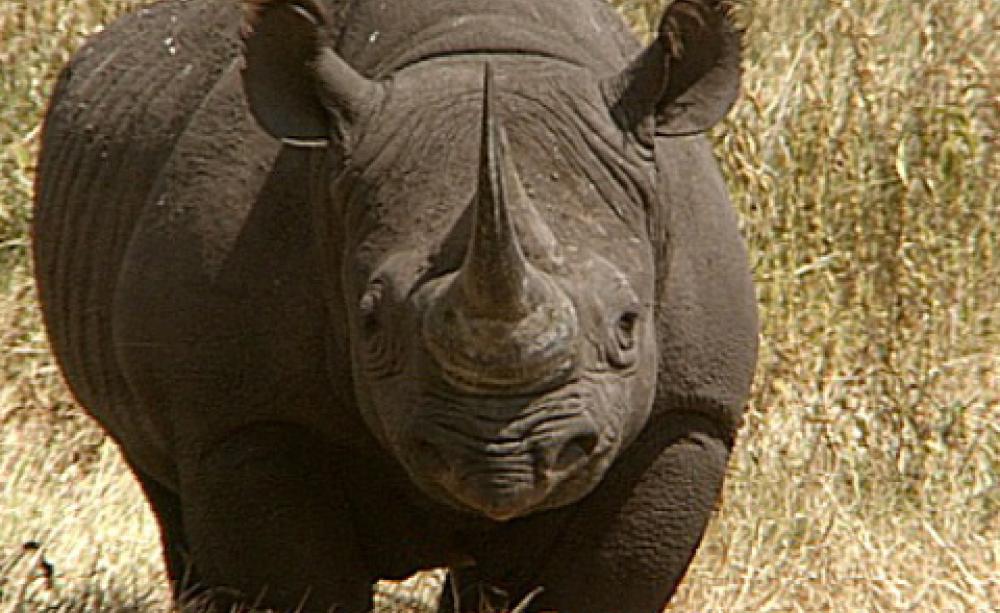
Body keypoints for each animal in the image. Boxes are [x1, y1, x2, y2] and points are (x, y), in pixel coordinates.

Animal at [32, 0, 758, 611]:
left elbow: (591, 583)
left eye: (630, 323)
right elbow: (296, 582)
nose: (504, 458)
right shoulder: (241, 416)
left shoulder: (689, 415)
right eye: (370, 322)